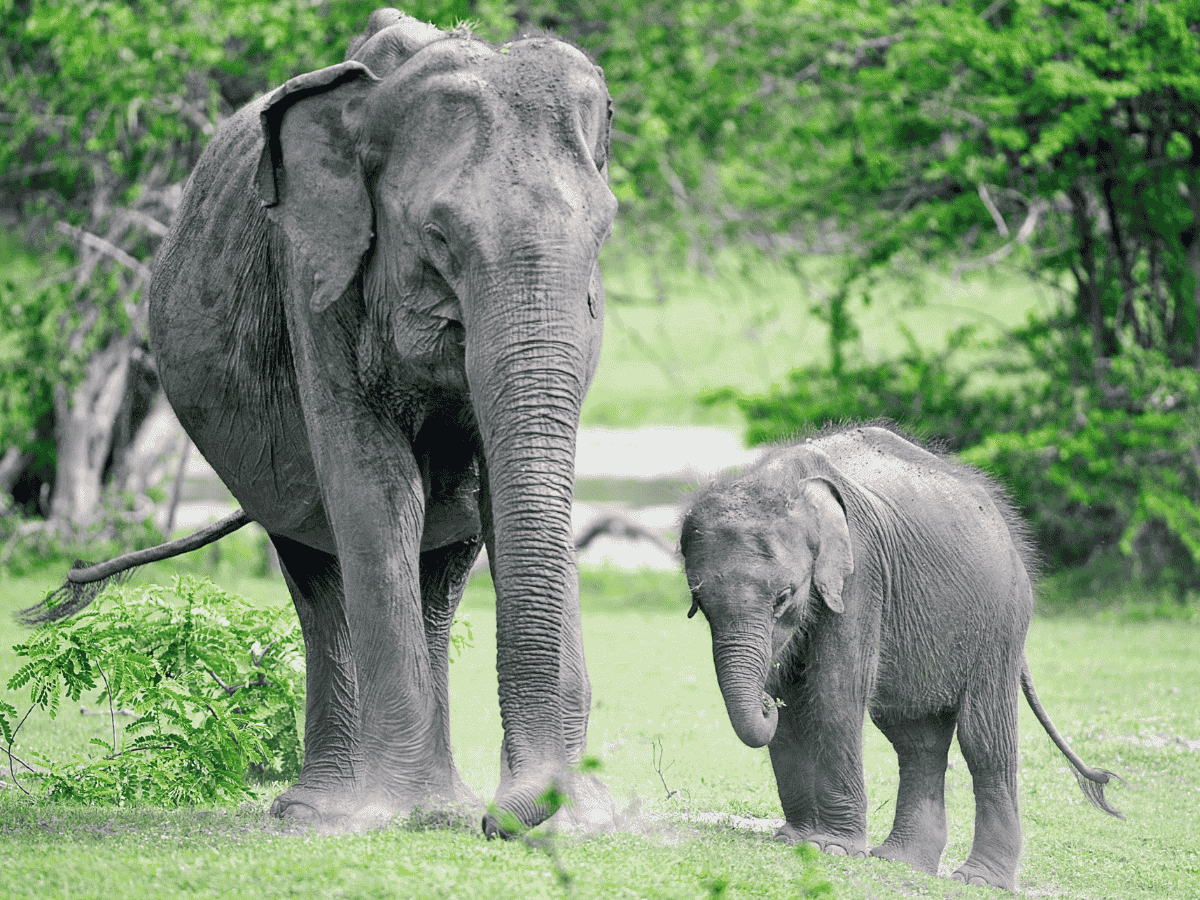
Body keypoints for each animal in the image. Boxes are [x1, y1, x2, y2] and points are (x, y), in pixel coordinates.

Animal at [27, 9, 618, 835]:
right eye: (438, 237)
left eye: (603, 234)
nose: (511, 819)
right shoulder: (313, 279)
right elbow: (375, 486)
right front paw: (399, 817)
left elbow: (501, 491)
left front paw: (573, 819)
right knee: (318, 567)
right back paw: (335, 812)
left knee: (442, 569)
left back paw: (440, 806)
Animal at [678, 424, 1122, 890]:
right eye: (698, 602)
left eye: (784, 596)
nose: (766, 705)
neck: (782, 482)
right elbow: (796, 703)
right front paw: (795, 839)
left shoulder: (861, 576)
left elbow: (835, 691)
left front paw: (832, 849)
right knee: (915, 736)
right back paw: (902, 861)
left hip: (1001, 621)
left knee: (983, 739)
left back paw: (979, 880)